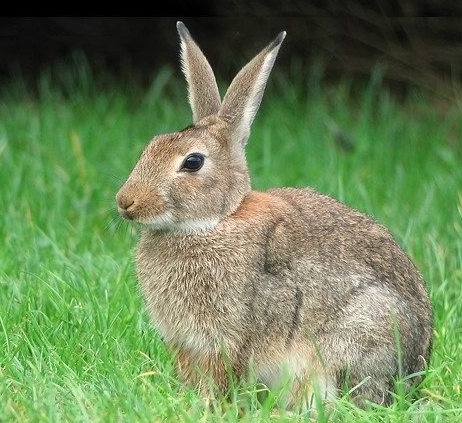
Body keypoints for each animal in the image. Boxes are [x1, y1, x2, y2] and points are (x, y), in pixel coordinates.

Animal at [115, 21, 434, 410]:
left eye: (193, 162)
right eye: (151, 146)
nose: (125, 202)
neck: (215, 221)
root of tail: (414, 375)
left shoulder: (231, 333)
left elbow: (223, 372)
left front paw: (206, 405)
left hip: (358, 334)